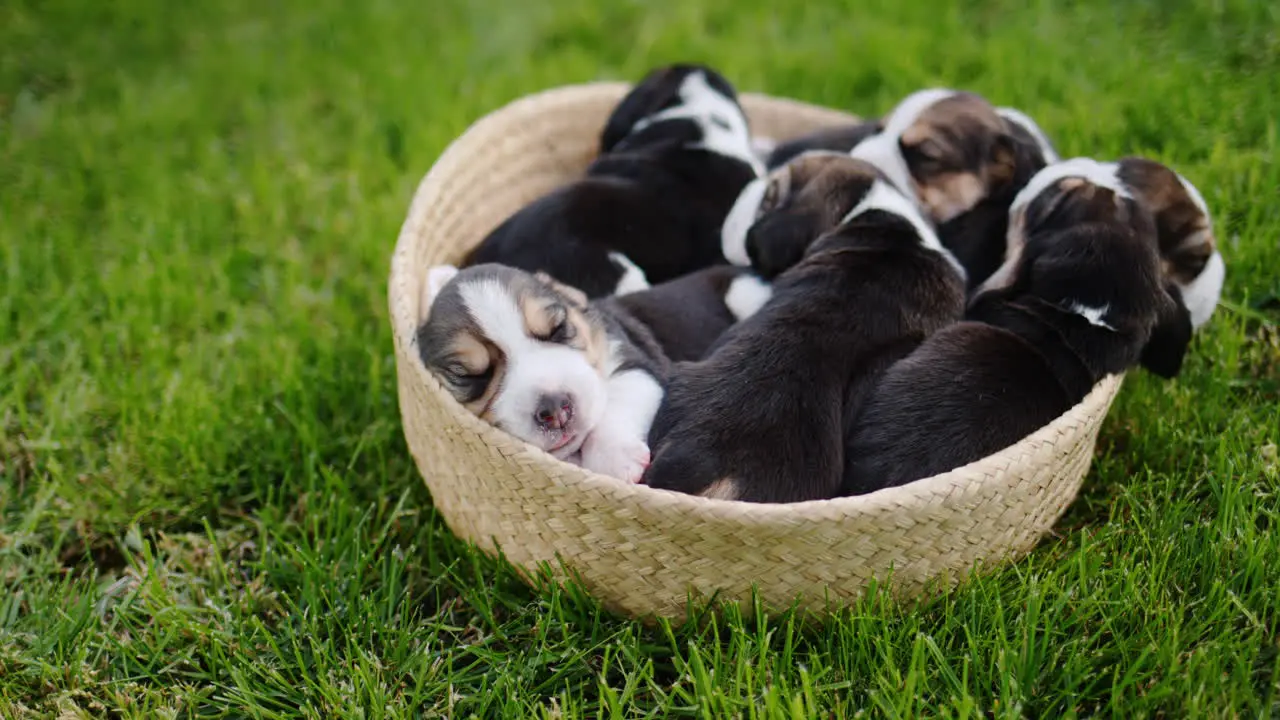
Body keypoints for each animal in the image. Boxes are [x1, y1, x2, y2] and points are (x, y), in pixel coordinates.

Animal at [417, 260, 768, 479]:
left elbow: (615, 406)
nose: (555, 409)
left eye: (558, 328)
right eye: (471, 376)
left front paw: (617, 459)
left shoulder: (636, 366)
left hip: (745, 292)